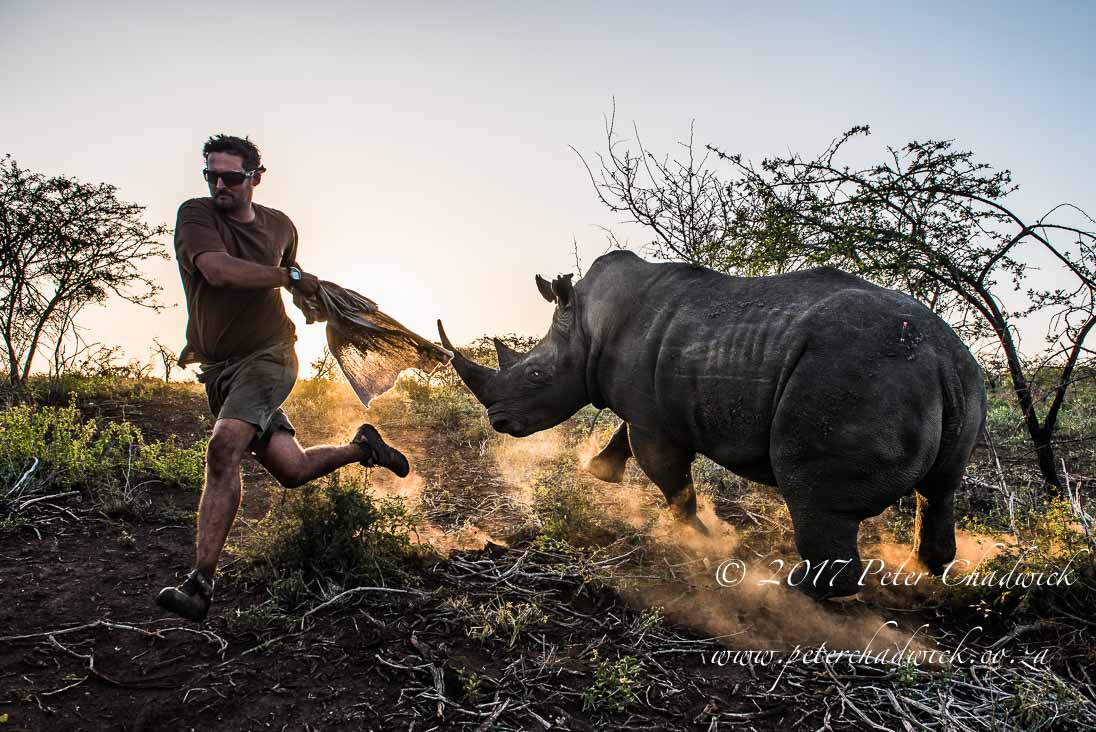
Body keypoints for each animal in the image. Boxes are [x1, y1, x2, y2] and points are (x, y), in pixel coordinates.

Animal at [438, 250, 986, 597]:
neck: (589, 328)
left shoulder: (654, 418)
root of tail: (940, 359)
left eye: (535, 375)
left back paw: (788, 592)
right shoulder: (652, 408)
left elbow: (670, 477)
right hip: (957, 378)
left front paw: (700, 538)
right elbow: (630, 441)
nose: (498, 421)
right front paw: (599, 472)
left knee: (813, 493)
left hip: (854, 378)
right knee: (939, 490)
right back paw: (924, 572)